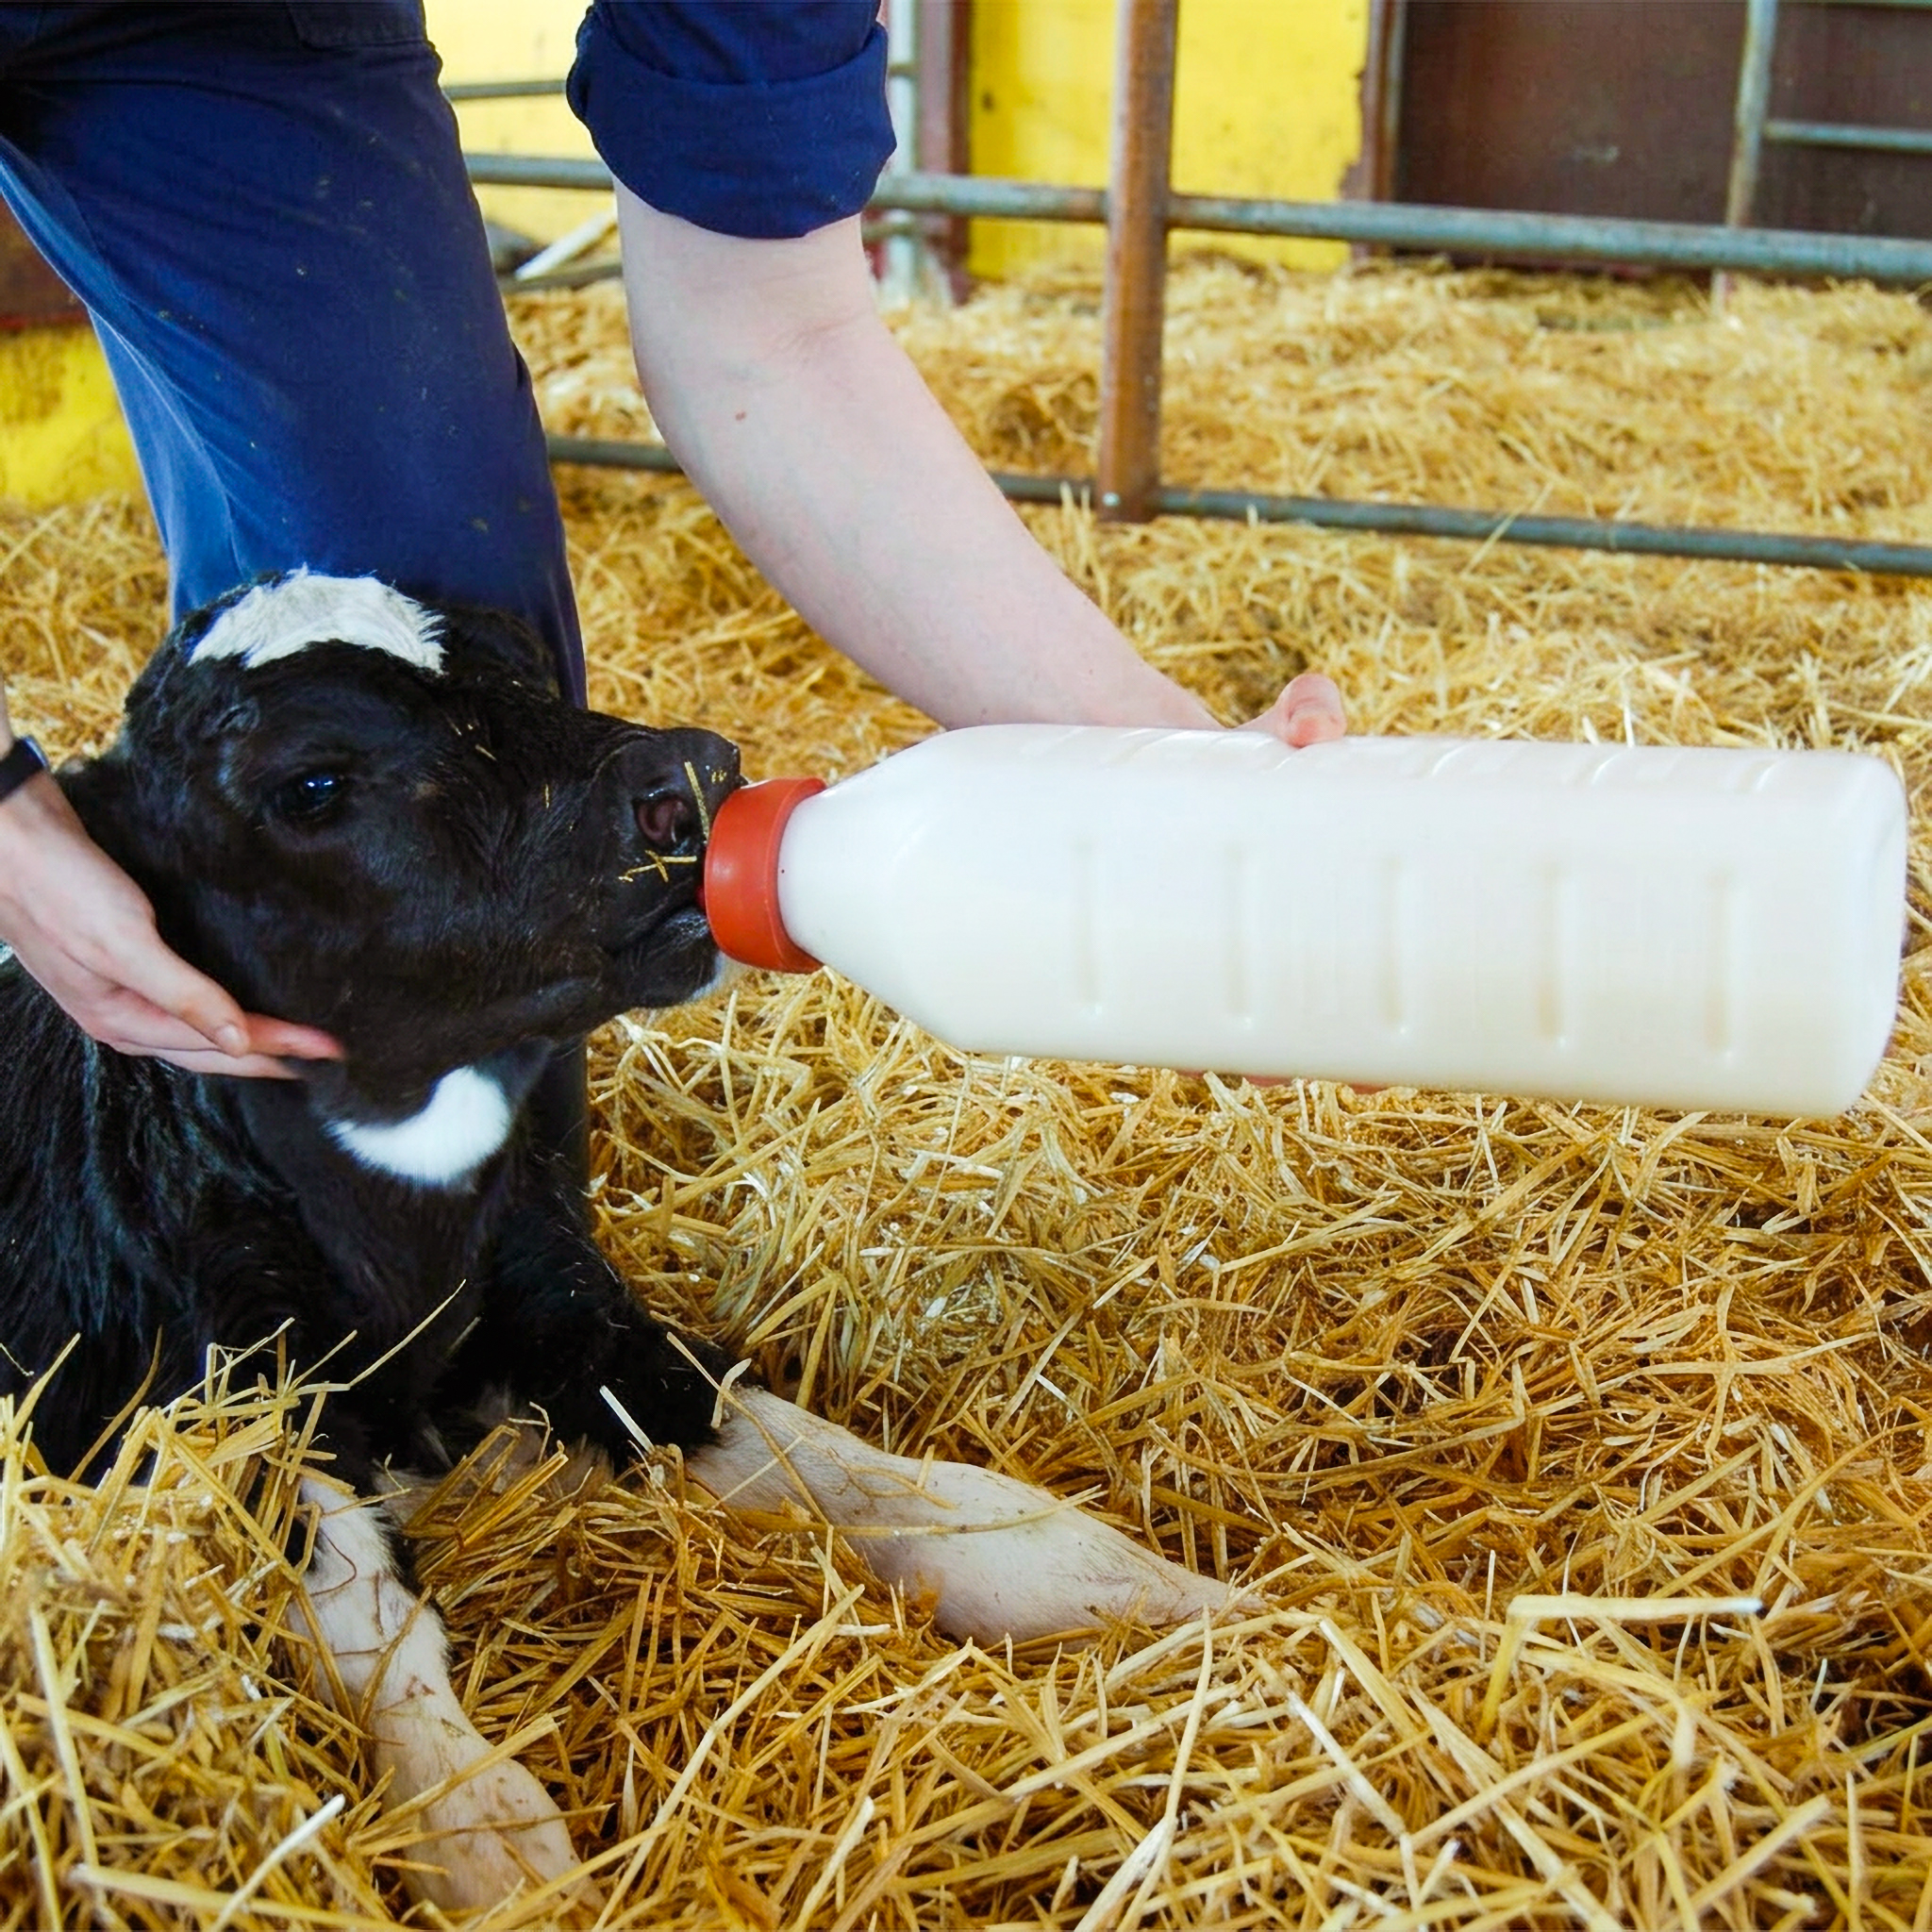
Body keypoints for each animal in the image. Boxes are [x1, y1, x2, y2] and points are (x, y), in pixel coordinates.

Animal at [0, 572, 1232, 1913]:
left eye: (522, 665)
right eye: (312, 782)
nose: (693, 772)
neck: (410, 1264)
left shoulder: (559, 1293)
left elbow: (795, 1442)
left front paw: (1093, 1571)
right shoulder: (219, 1400)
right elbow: (363, 1617)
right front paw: (489, 1838)